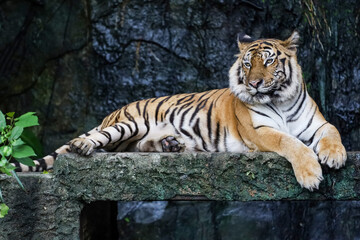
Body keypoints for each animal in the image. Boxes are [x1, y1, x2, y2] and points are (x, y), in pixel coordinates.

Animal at [16, 30, 346, 191]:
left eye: (268, 61)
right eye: (247, 64)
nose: (253, 84)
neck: (280, 100)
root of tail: (113, 112)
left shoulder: (317, 123)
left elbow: (333, 131)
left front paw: (335, 156)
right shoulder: (260, 131)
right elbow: (290, 143)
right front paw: (311, 176)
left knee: (136, 146)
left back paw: (171, 145)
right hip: (129, 124)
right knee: (101, 139)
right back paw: (81, 145)